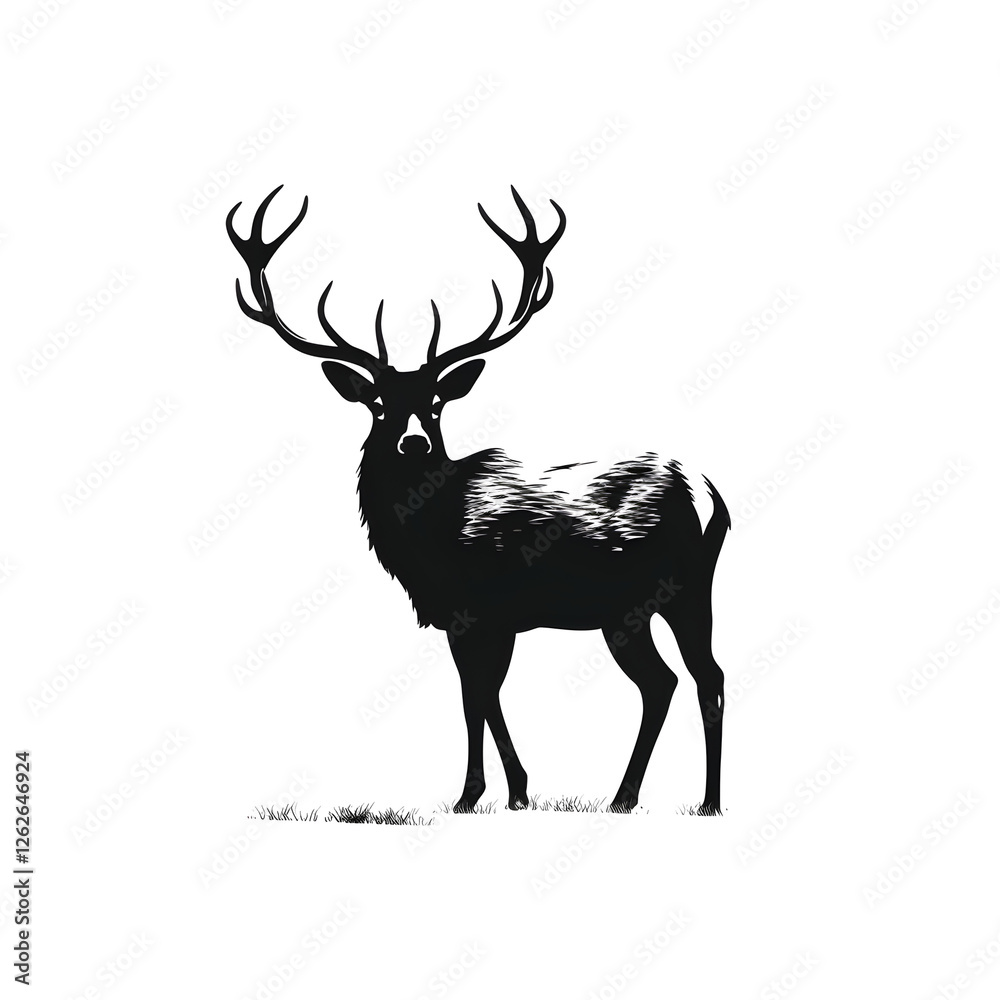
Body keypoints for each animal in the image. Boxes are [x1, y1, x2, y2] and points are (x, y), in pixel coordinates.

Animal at [226, 185, 730, 814]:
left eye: (437, 403)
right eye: (379, 405)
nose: (414, 441)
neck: (429, 545)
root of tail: (715, 500)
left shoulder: (486, 610)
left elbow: (479, 696)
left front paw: (484, 794)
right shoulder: (469, 618)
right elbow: (479, 696)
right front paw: (508, 792)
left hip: (684, 587)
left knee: (704, 678)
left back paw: (704, 801)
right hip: (628, 613)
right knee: (666, 682)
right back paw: (633, 797)